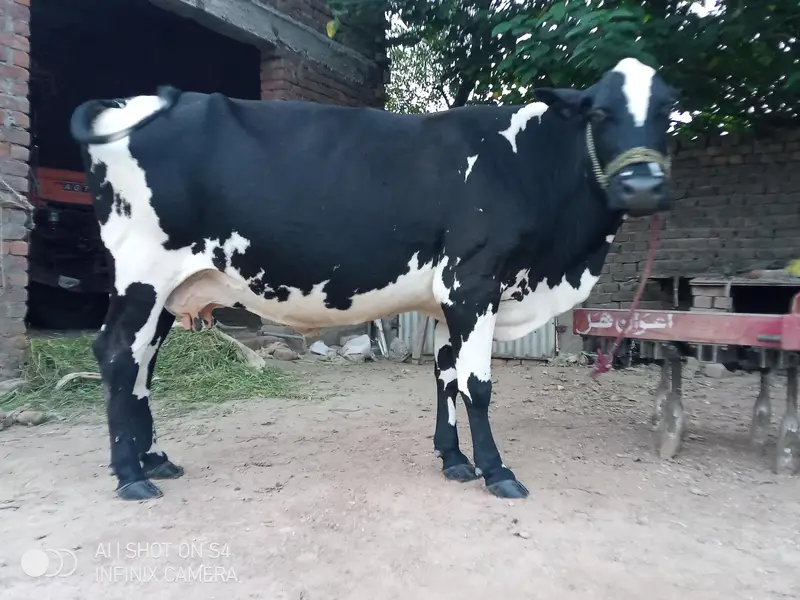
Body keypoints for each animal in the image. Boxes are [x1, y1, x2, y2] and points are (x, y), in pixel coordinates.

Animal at [69, 56, 677, 502]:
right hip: (143, 274)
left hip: (171, 289)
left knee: (143, 363)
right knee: (118, 354)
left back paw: (153, 459)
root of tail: (125, 104)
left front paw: (453, 459)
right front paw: (496, 470)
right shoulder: (473, 283)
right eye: (600, 112)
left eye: (670, 110)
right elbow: (476, 384)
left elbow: (444, 375)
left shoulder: (445, 298)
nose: (644, 186)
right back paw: (130, 475)